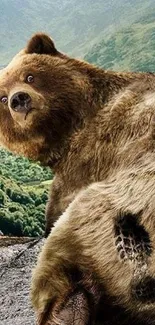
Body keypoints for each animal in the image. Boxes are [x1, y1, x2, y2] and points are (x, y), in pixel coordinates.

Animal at [0, 33, 155, 324]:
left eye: (29, 76)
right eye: (2, 98)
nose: (19, 100)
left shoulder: (90, 154)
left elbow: (57, 209)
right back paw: (72, 307)